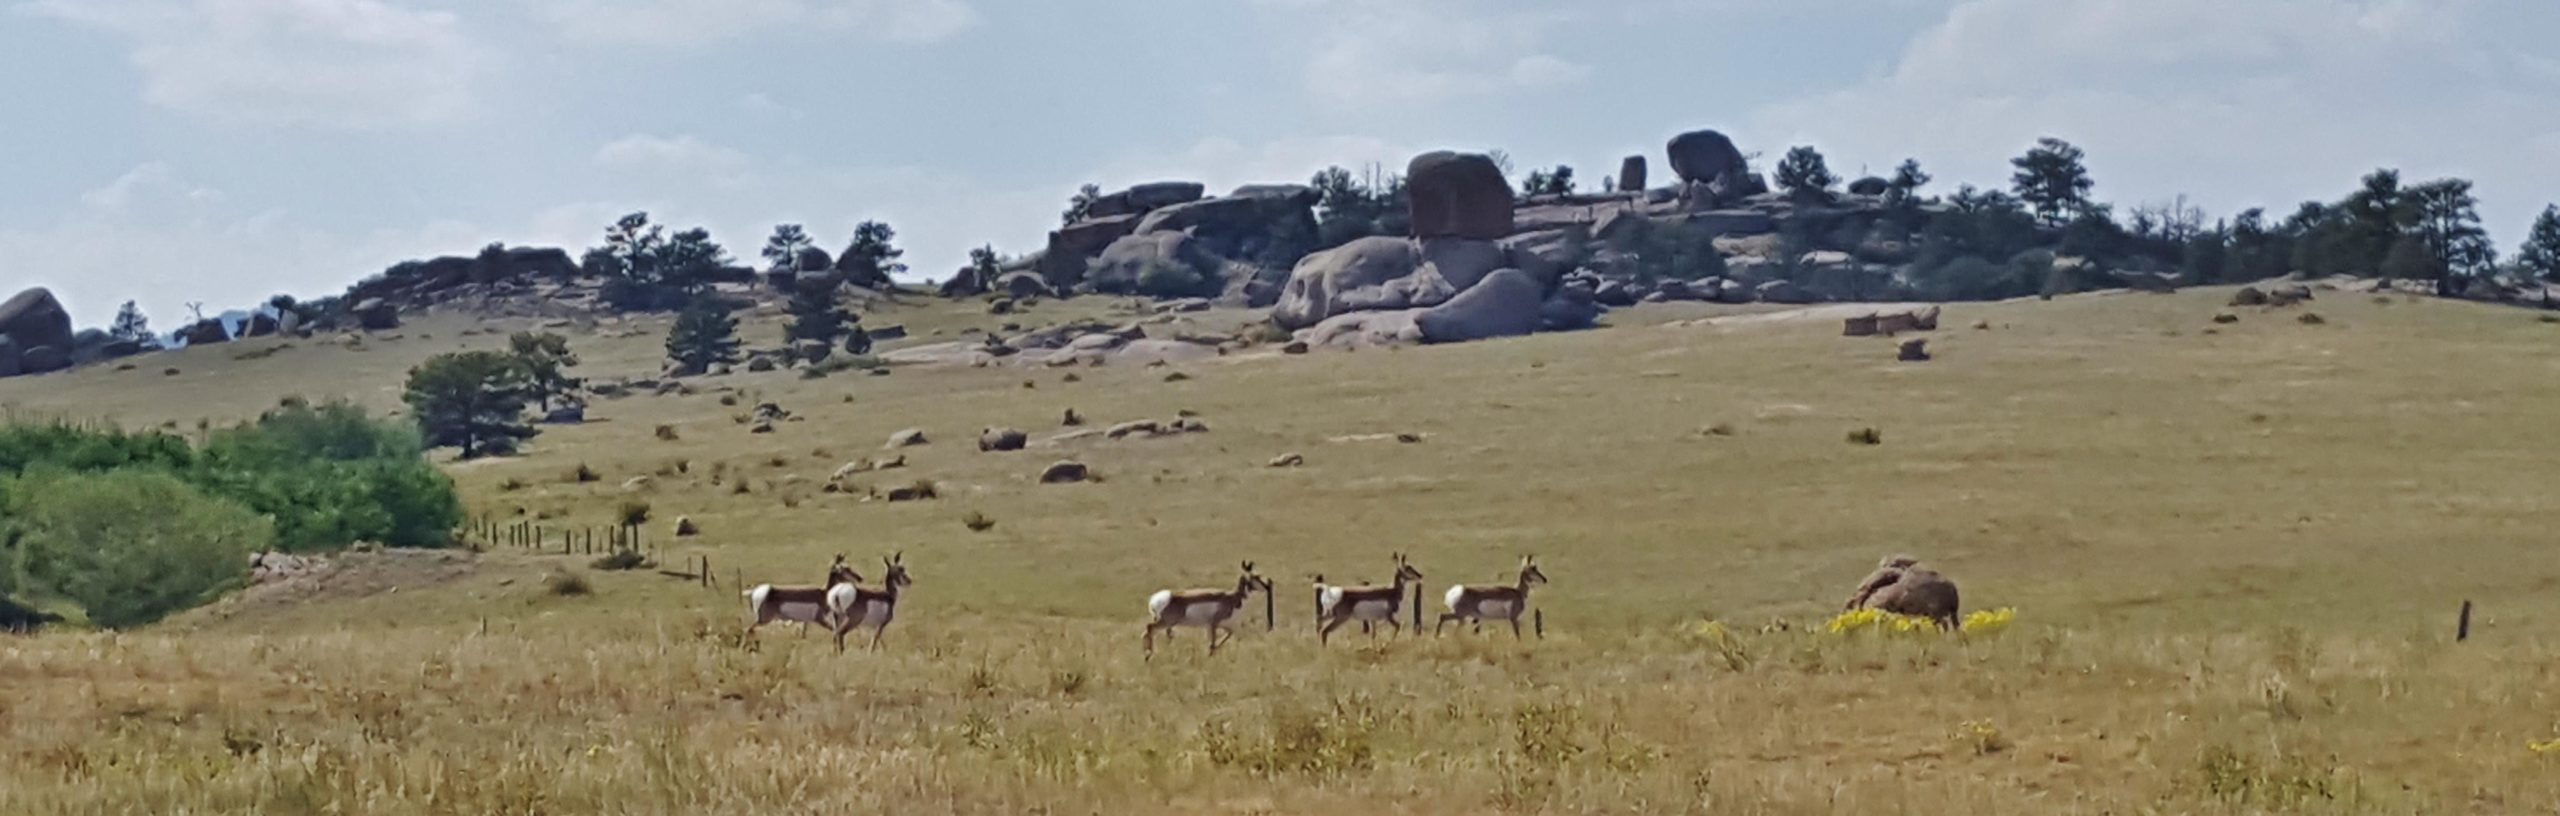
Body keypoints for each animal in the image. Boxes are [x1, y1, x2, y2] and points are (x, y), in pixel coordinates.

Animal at [1144, 561, 1274, 659]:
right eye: (1256, 577)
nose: (1267, 587)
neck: (1231, 597)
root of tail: (1157, 599)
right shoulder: (1213, 624)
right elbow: (1213, 642)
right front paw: (1211, 655)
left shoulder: (1226, 626)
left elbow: (1226, 636)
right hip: (1166, 622)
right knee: (1150, 627)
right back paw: (1149, 655)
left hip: (1166, 623)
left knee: (1148, 632)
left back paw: (1148, 655)